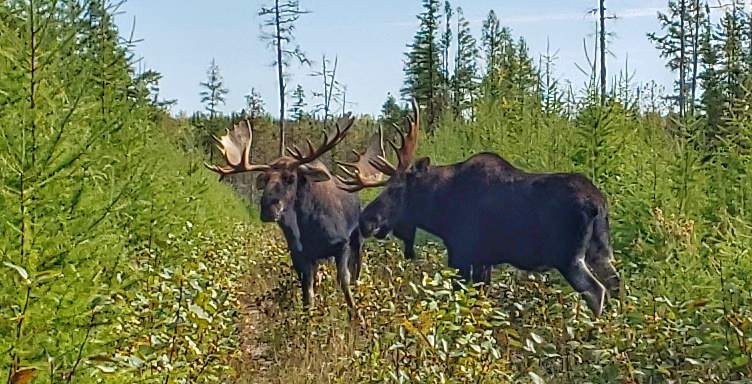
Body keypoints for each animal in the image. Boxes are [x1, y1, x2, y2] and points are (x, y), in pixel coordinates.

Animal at [338, 100, 620, 316]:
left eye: (396, 189)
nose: (366, 220)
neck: (439, 209)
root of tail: (598, 203)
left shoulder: (462, 252)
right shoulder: (485, 260)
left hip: (569, 257)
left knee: (596, 291)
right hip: (601, 251)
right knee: (614, 284)